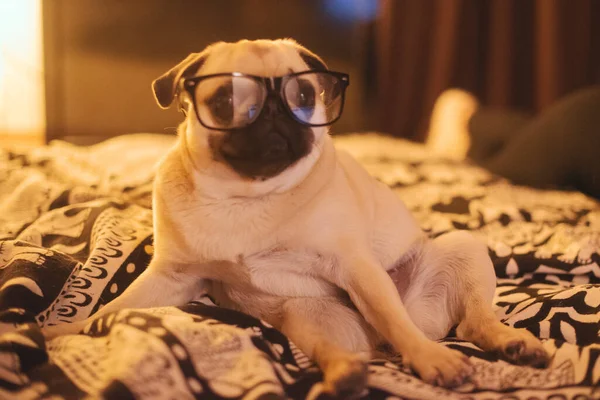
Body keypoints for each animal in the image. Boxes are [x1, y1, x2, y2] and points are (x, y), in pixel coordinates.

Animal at [43, 39, 548, 396]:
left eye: (303, 93)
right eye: (224, 100)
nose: (272, 111)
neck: (245, 197)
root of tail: (376, 346)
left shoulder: (357, 268)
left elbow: (394, 317)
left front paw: (430, 360)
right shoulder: (172, 279)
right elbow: (112, 310)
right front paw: (59, 331)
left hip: (461, 250)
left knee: (466, 321)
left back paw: (511, 343)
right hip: (308, 318)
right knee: (342, 351)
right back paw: (342, 379)